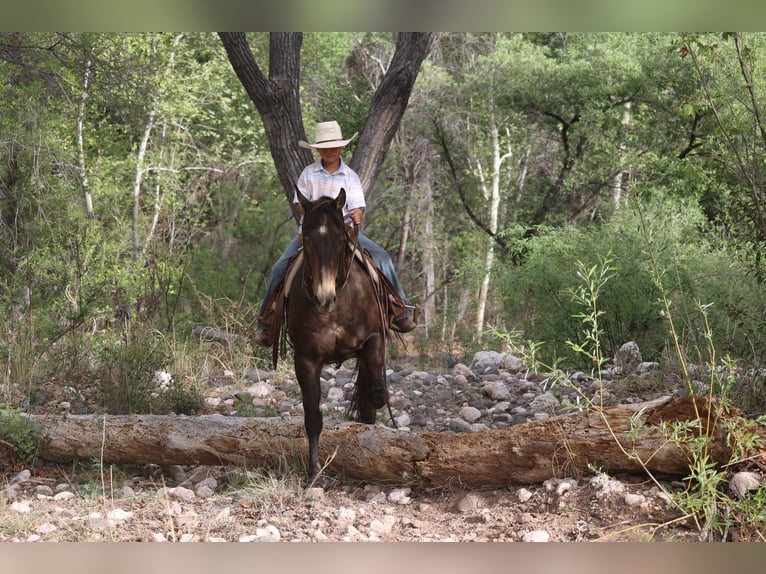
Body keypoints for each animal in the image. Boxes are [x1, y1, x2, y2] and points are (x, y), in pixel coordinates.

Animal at [272, 188, 392, 486]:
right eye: (307, 239)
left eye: (339, 239)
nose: (323, 297)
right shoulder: (306, 359)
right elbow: (313, 417)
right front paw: (314, 472)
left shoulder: (374, 340)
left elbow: (375, 394)